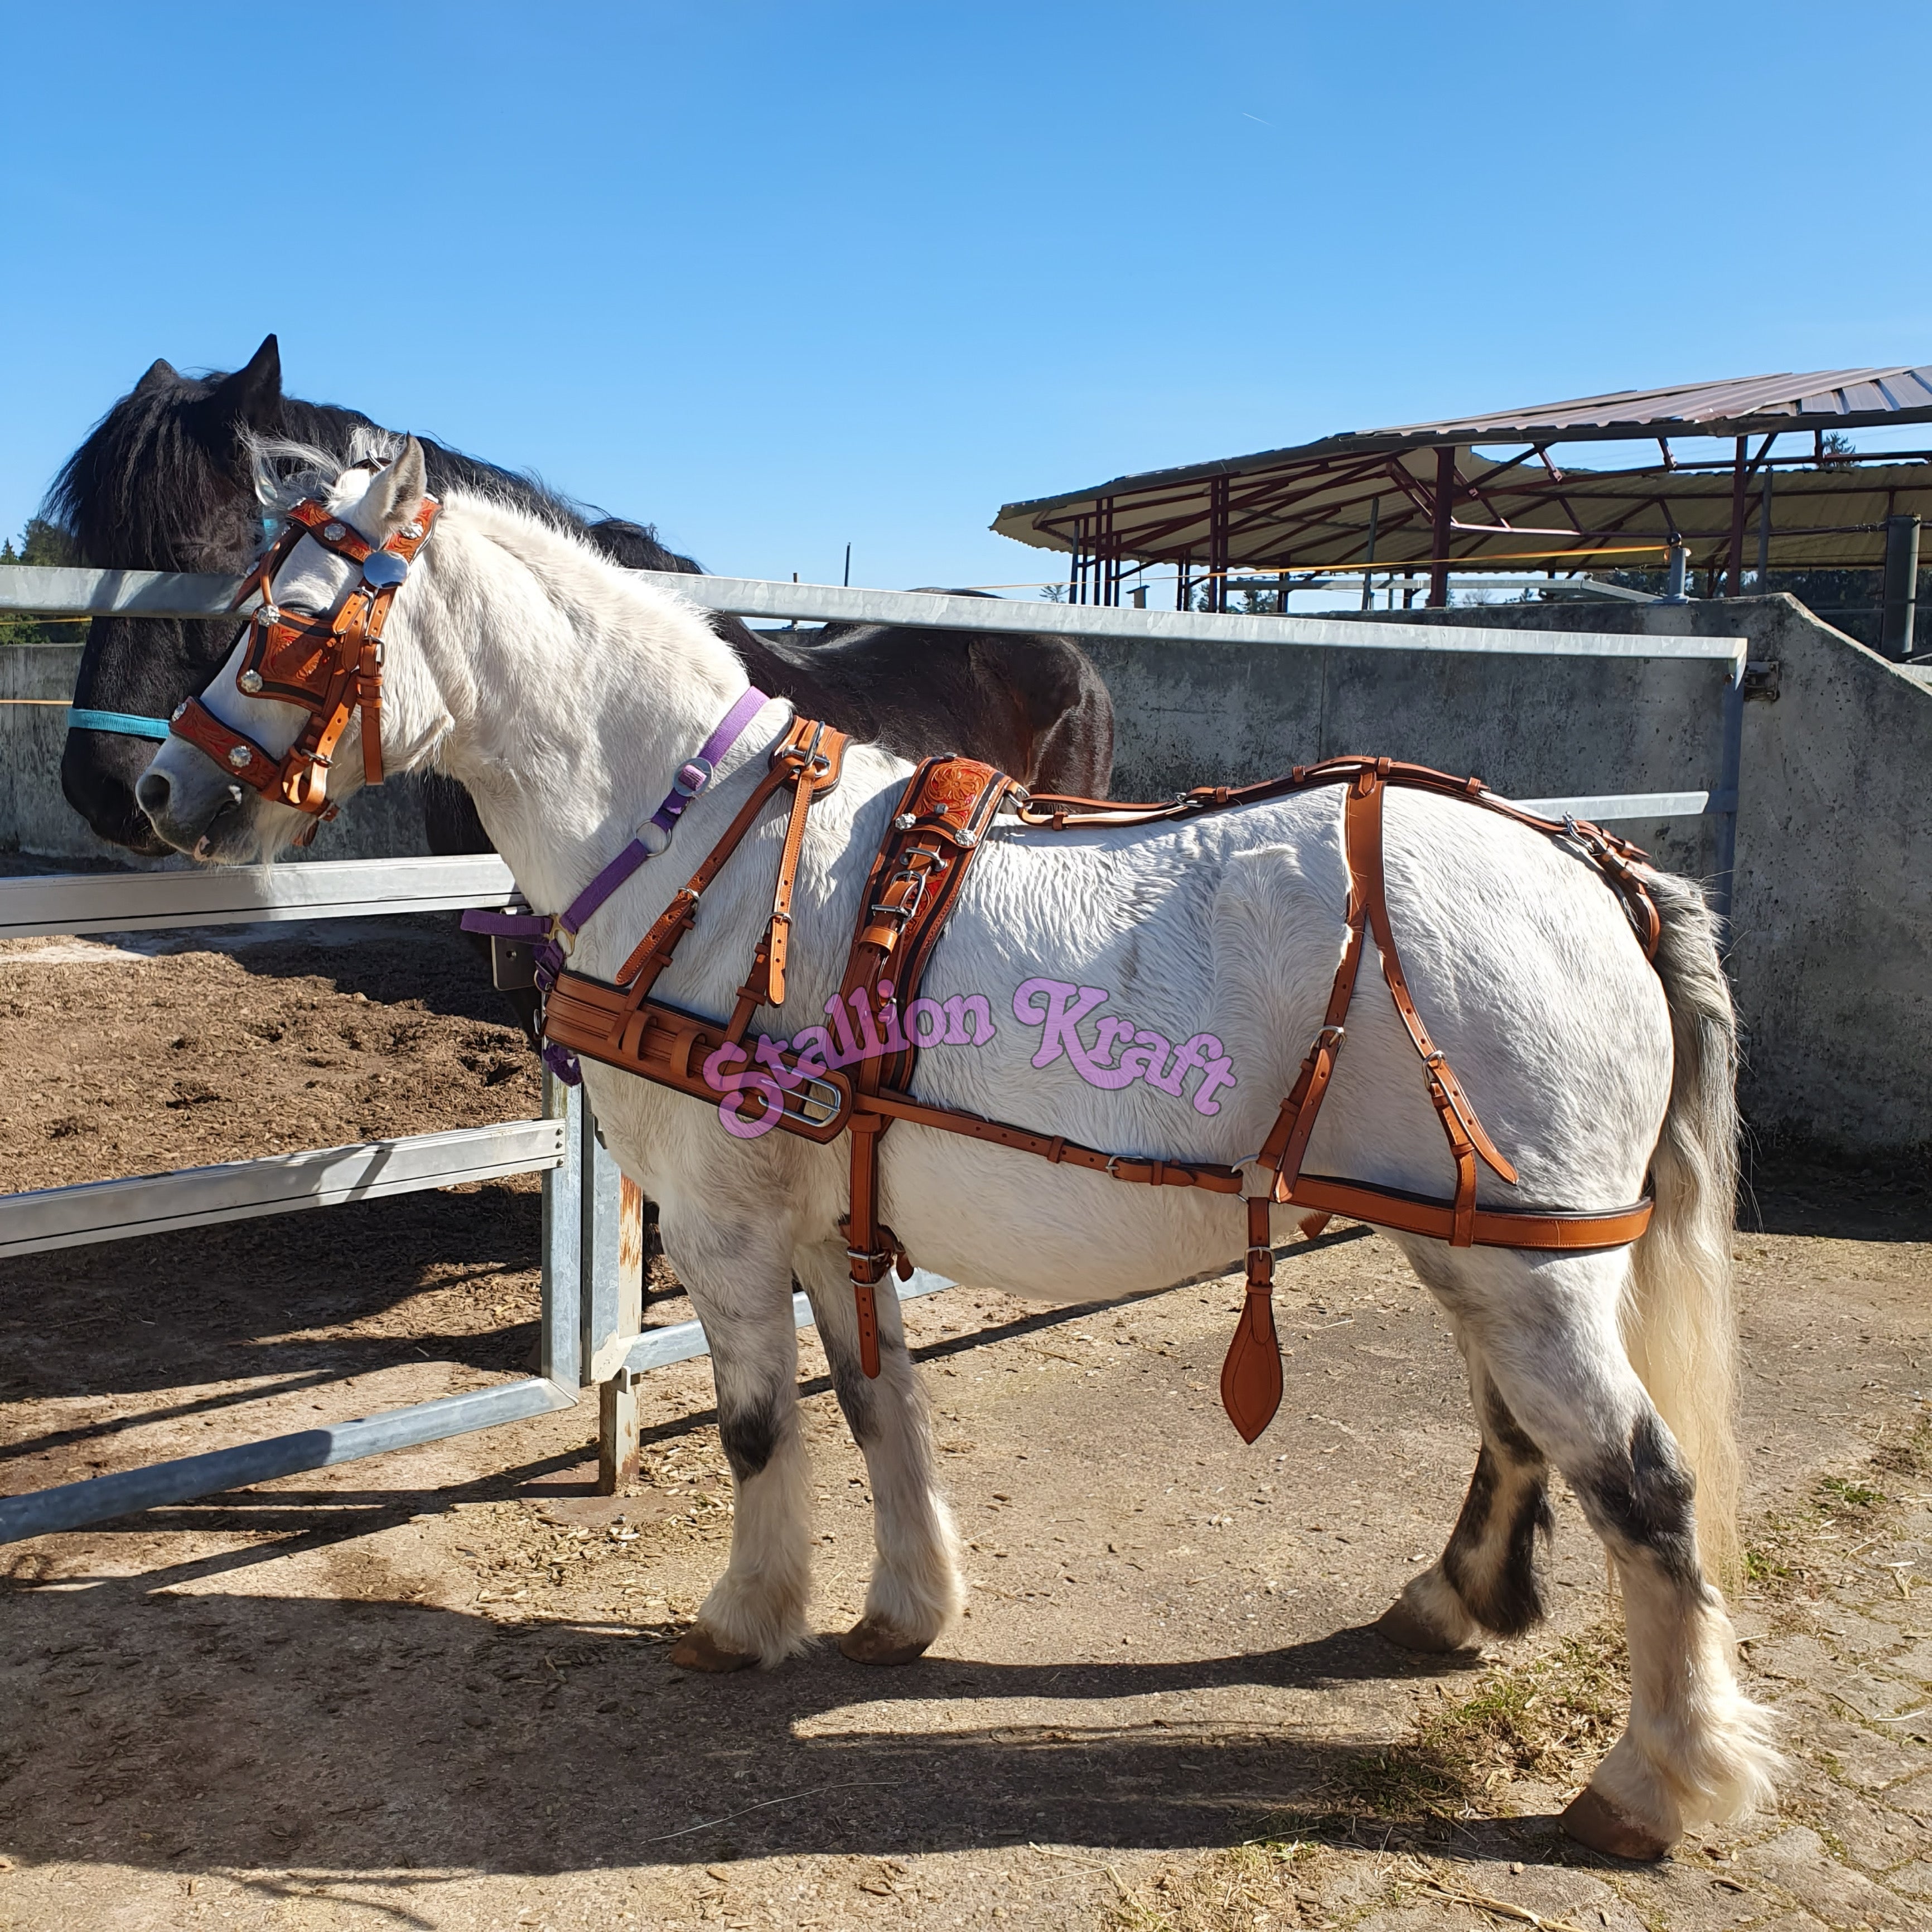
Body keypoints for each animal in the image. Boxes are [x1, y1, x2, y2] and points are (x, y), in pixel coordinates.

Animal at [133, 443, 1779, 1862]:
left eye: (284, 624)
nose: (162, 790)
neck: (708, 851)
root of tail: (1597, 867)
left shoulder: (723, 1230)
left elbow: (757, 1428)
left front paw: (744, 1617)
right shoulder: (829, 1223)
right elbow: (878, 1405)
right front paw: (905, 1606)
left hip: (1526, 1273)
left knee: (1645, 1485)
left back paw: (1652, 1780)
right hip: (1480, 1251)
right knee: (1518, 1433)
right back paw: (1450, 1603)